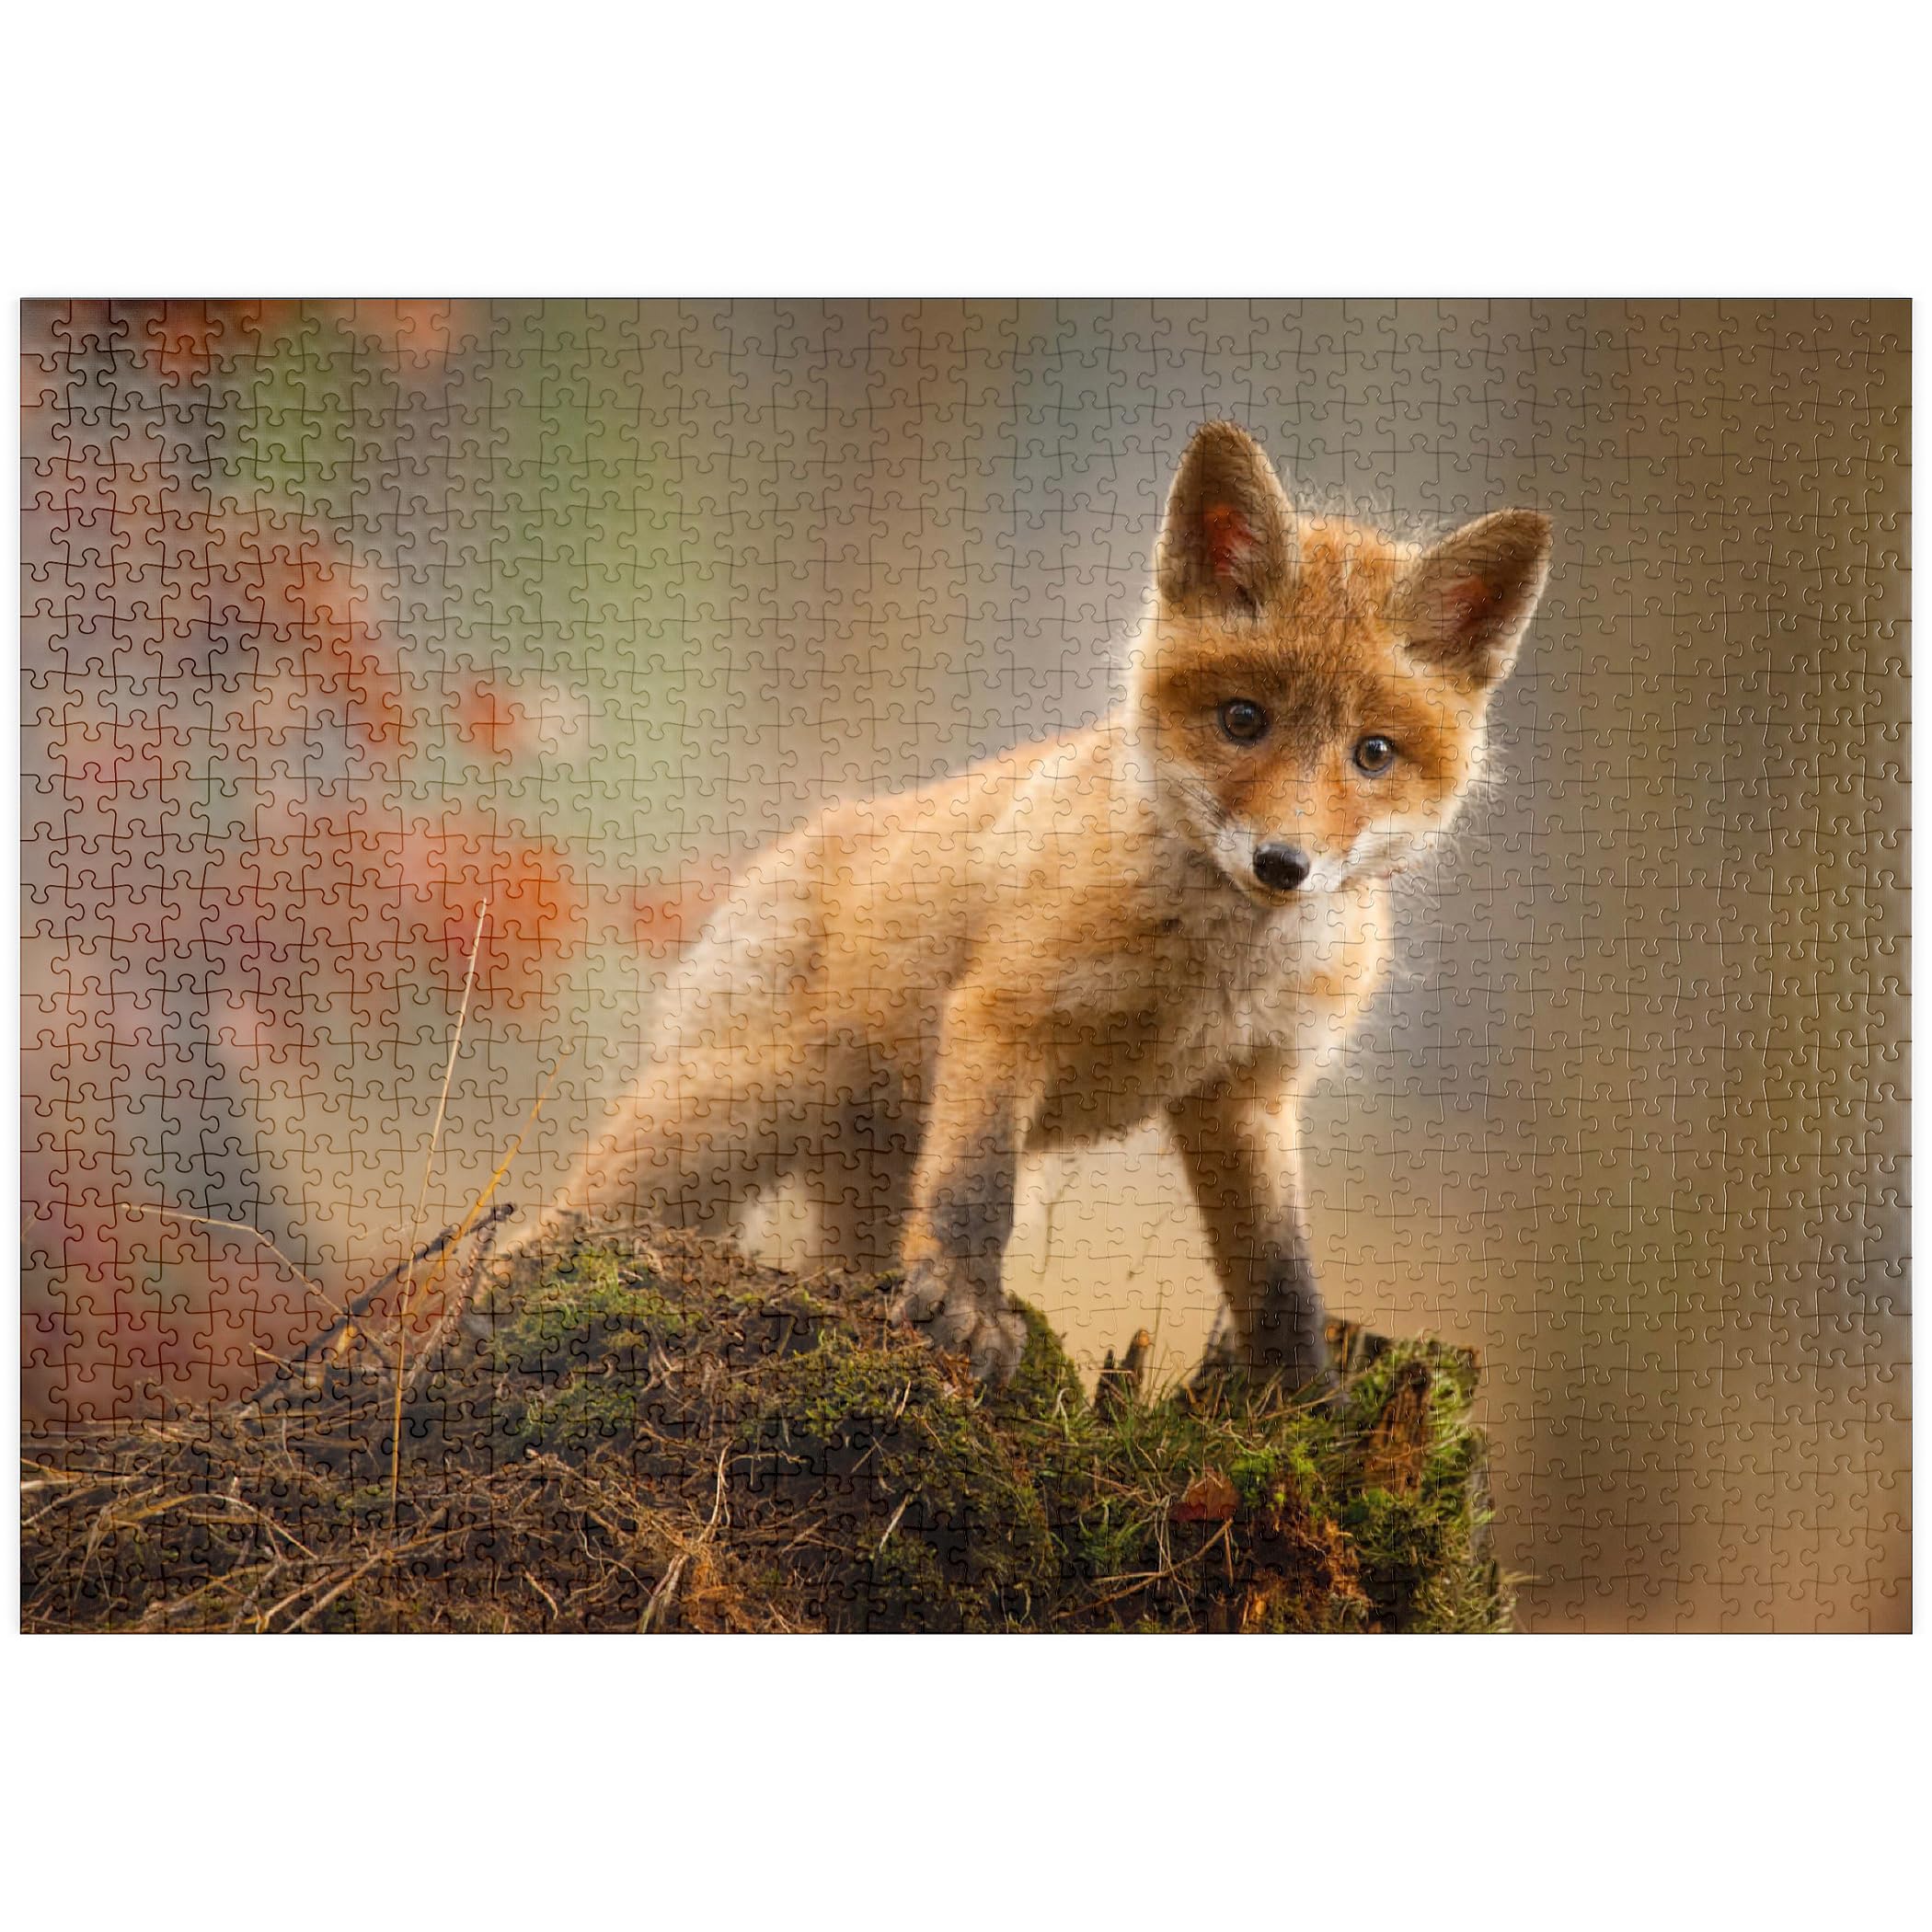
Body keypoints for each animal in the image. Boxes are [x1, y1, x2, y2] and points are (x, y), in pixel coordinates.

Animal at [531, 422, 1551, 1389]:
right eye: (1243, 719)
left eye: (1373, 753)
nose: (1282, 863)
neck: (1213, 974)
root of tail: (802, 838)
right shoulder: (1004, 1016)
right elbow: (979, 1191)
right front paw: (968, 1306)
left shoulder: (1247, 1096)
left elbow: (1281, 1279)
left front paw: (1308, 1404)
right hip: (738, 1105)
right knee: (549, 1223)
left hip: (857, 1168)